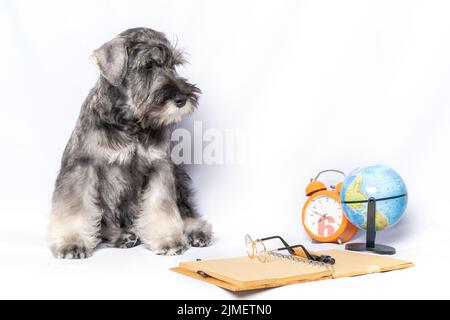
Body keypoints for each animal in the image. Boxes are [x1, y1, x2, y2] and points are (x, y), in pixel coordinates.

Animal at [47, 26, 213, 258]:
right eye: (148, 65)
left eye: (173, 65)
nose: (182, 98)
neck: (130, 122)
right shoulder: (81, 168)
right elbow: (76, 208)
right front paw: (72, 242)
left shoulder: (159, 167)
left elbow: (161, 205)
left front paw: (168, 239)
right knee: (104, 224)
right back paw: (121, 236)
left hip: (178, 177)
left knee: (185, 210)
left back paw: (195, 231)